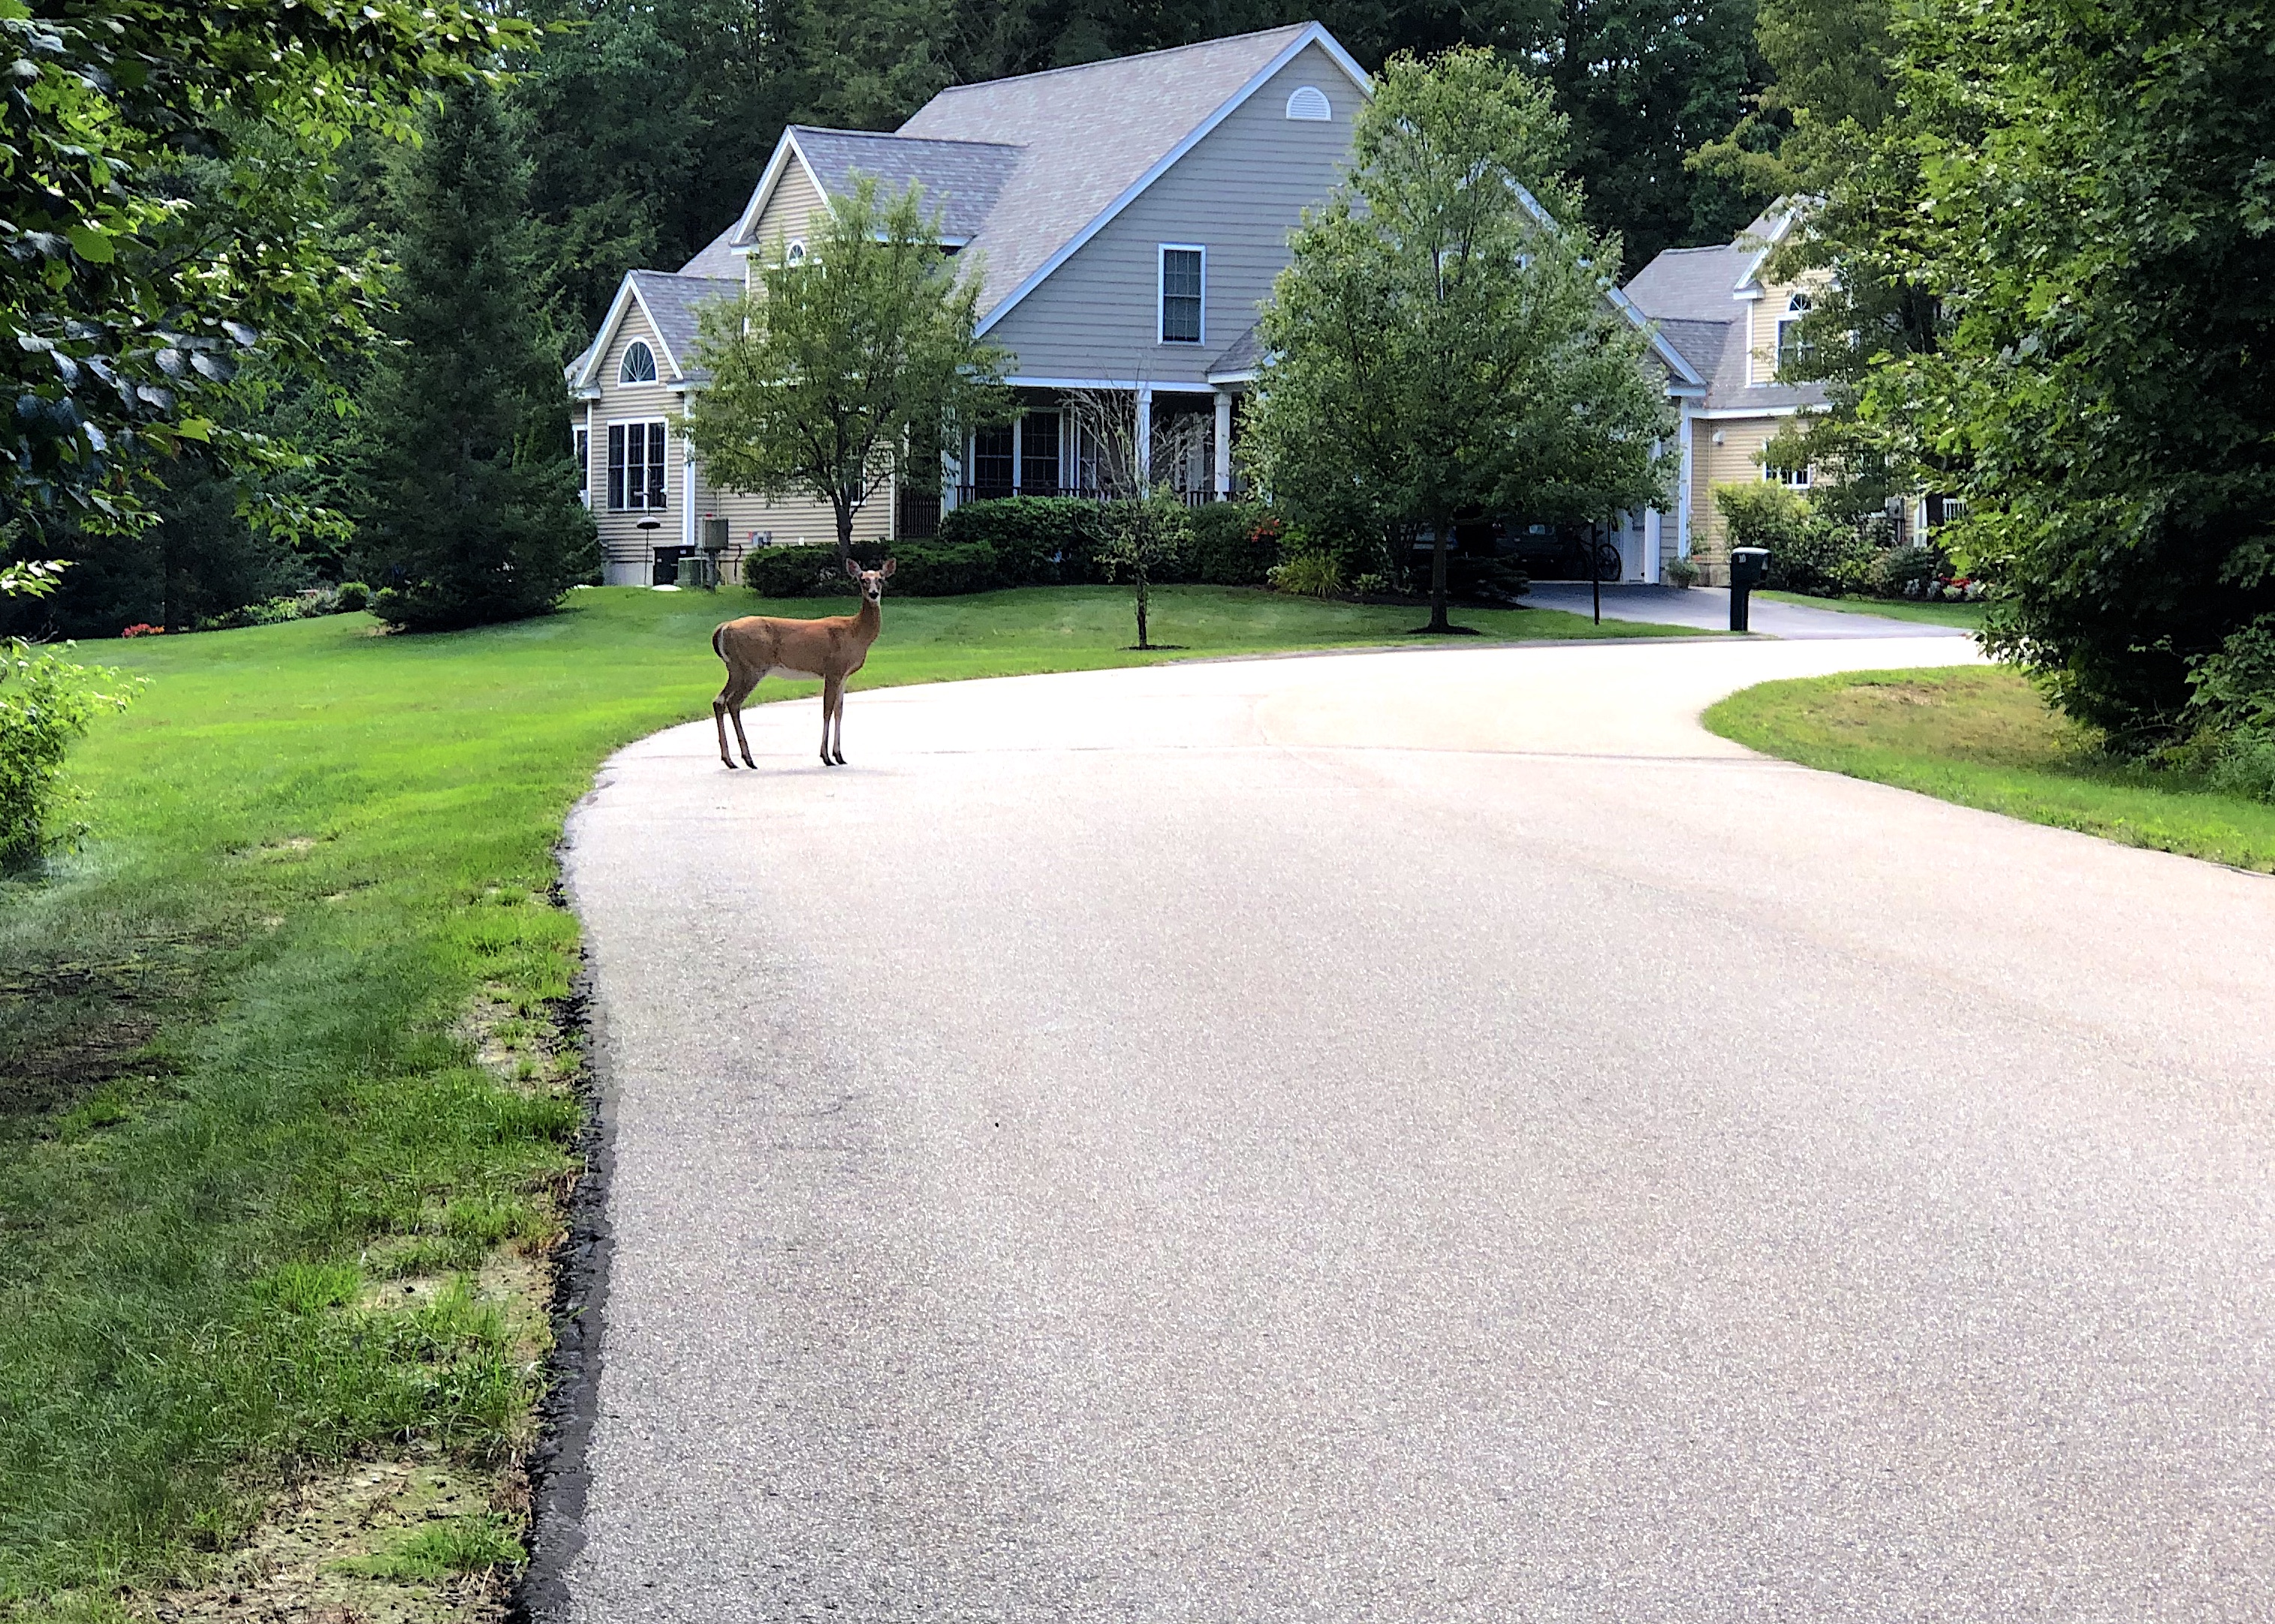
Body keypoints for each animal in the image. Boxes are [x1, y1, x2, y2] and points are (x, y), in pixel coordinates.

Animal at [711, 554, 895, 769]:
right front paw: (826, 757)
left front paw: (839, 755)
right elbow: (827, 710)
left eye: (880, 579)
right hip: (752, 666)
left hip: (735, 668)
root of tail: (723, 628)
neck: (856, 632)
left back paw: (730, 760)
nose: (874, 593)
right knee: (733, 702)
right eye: (862, 579)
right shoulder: (833, 669)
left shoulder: (843, 675)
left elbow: (839, 711)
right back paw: (747, 758)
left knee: (719, 701)